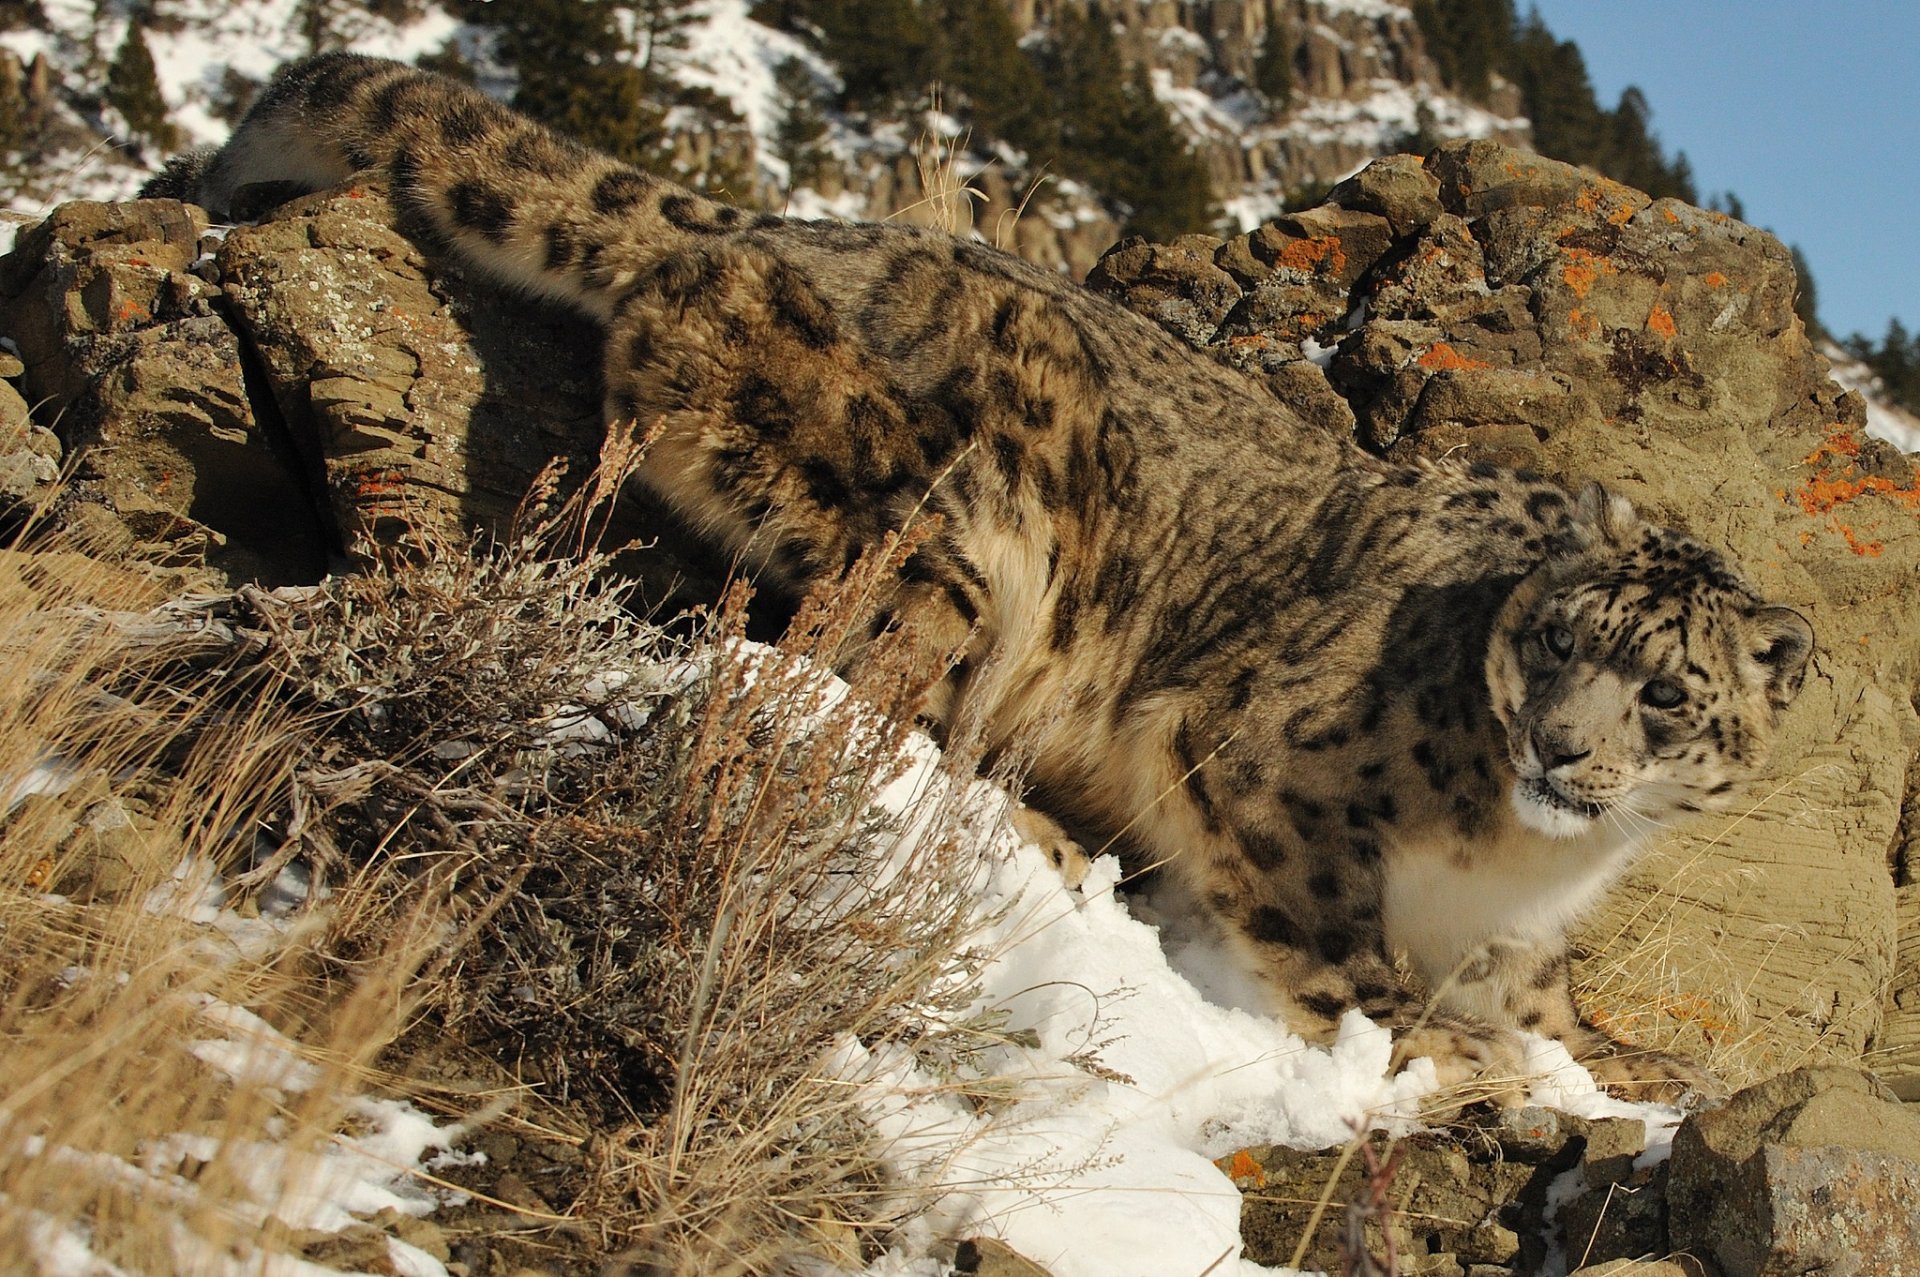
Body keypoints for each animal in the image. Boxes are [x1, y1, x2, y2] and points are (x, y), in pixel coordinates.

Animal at [161, 54, 1812, 1098]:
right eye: (1556, 645)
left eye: (1666, 692)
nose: (1560, 748)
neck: (1525, 860)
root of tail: (771, 223)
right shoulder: (1269, 764)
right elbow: (1338, 944)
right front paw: (1447, 1055)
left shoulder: (1525, 932)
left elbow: (1554, 1004)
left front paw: (1619, 1066)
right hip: (956, 534)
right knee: (849, 690)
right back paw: (1035, 826)